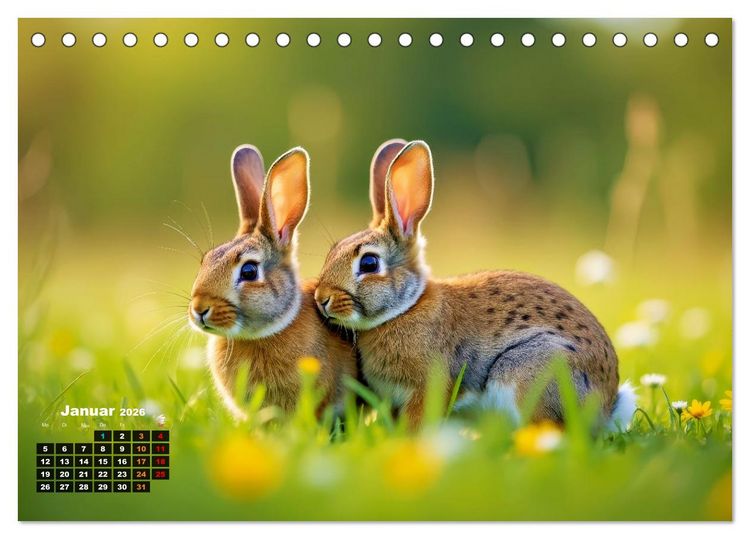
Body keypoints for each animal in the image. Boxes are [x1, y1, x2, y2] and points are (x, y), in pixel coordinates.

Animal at [315, 139, 636, 429]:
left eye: (369, 263)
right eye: (332, 252)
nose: (321, 299)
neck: (406, 308)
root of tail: (606, 406)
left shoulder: (430, 384)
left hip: (528, 367)